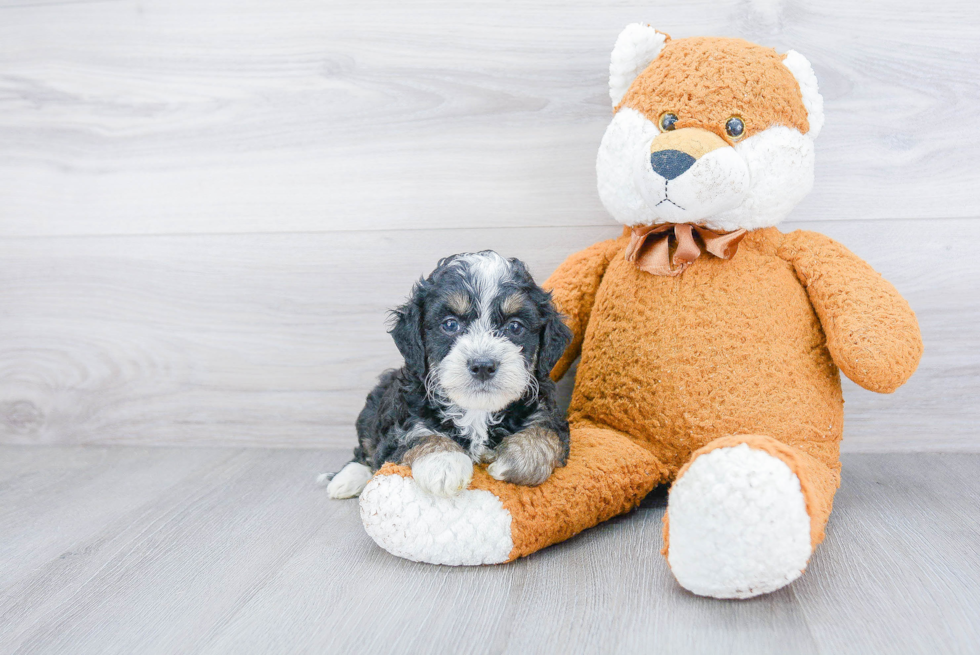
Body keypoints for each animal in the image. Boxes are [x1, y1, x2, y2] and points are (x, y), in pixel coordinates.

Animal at [322, 250, 572, 498]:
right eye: (450, 325)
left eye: (515, 327)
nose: (483, 365)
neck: (477, 412)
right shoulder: (403, 419)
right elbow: (418, 433)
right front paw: (444, 463)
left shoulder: (548, 411)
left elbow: (545, 430)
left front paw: (519, 459)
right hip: (372, 408)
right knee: (365, 449)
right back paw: (347, 479)